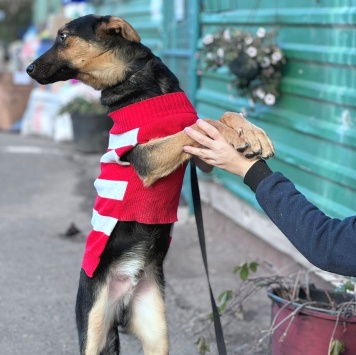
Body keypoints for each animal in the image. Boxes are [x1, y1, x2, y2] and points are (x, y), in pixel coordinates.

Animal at [26, 14, 274, 355]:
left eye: (63, 36)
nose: (28, 69)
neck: (136, 80)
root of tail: (123, 298)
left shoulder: (202, 159)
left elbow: (216, 116)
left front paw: (252, 133)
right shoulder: (147, 156)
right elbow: (200, 123)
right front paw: (240, 134)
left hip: (157, 332)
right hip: (93, 326)